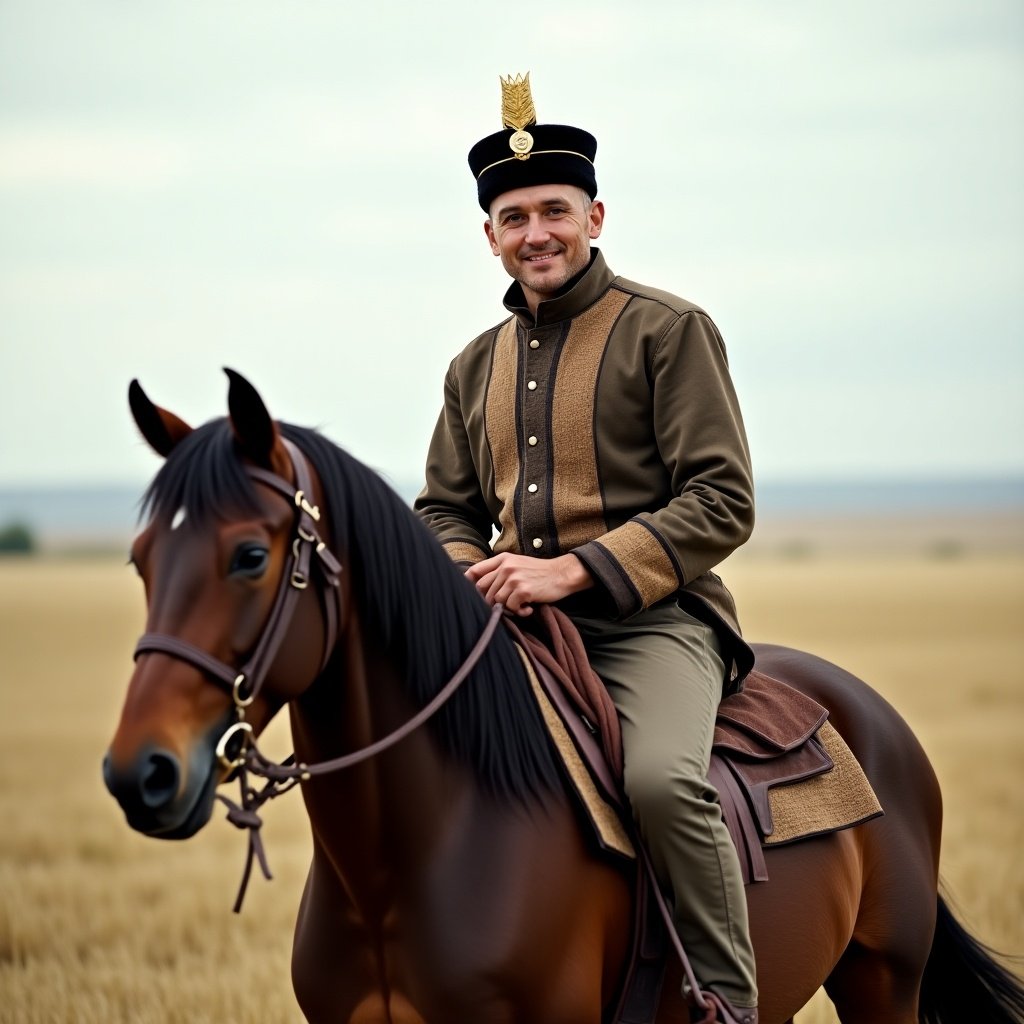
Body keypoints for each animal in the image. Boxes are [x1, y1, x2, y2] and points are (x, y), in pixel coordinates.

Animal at [103, 370, 1024, 1024]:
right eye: (140, 558)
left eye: (250, 556)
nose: (138, 774)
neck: (412, 856)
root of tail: (873, 716)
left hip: (882, 981)